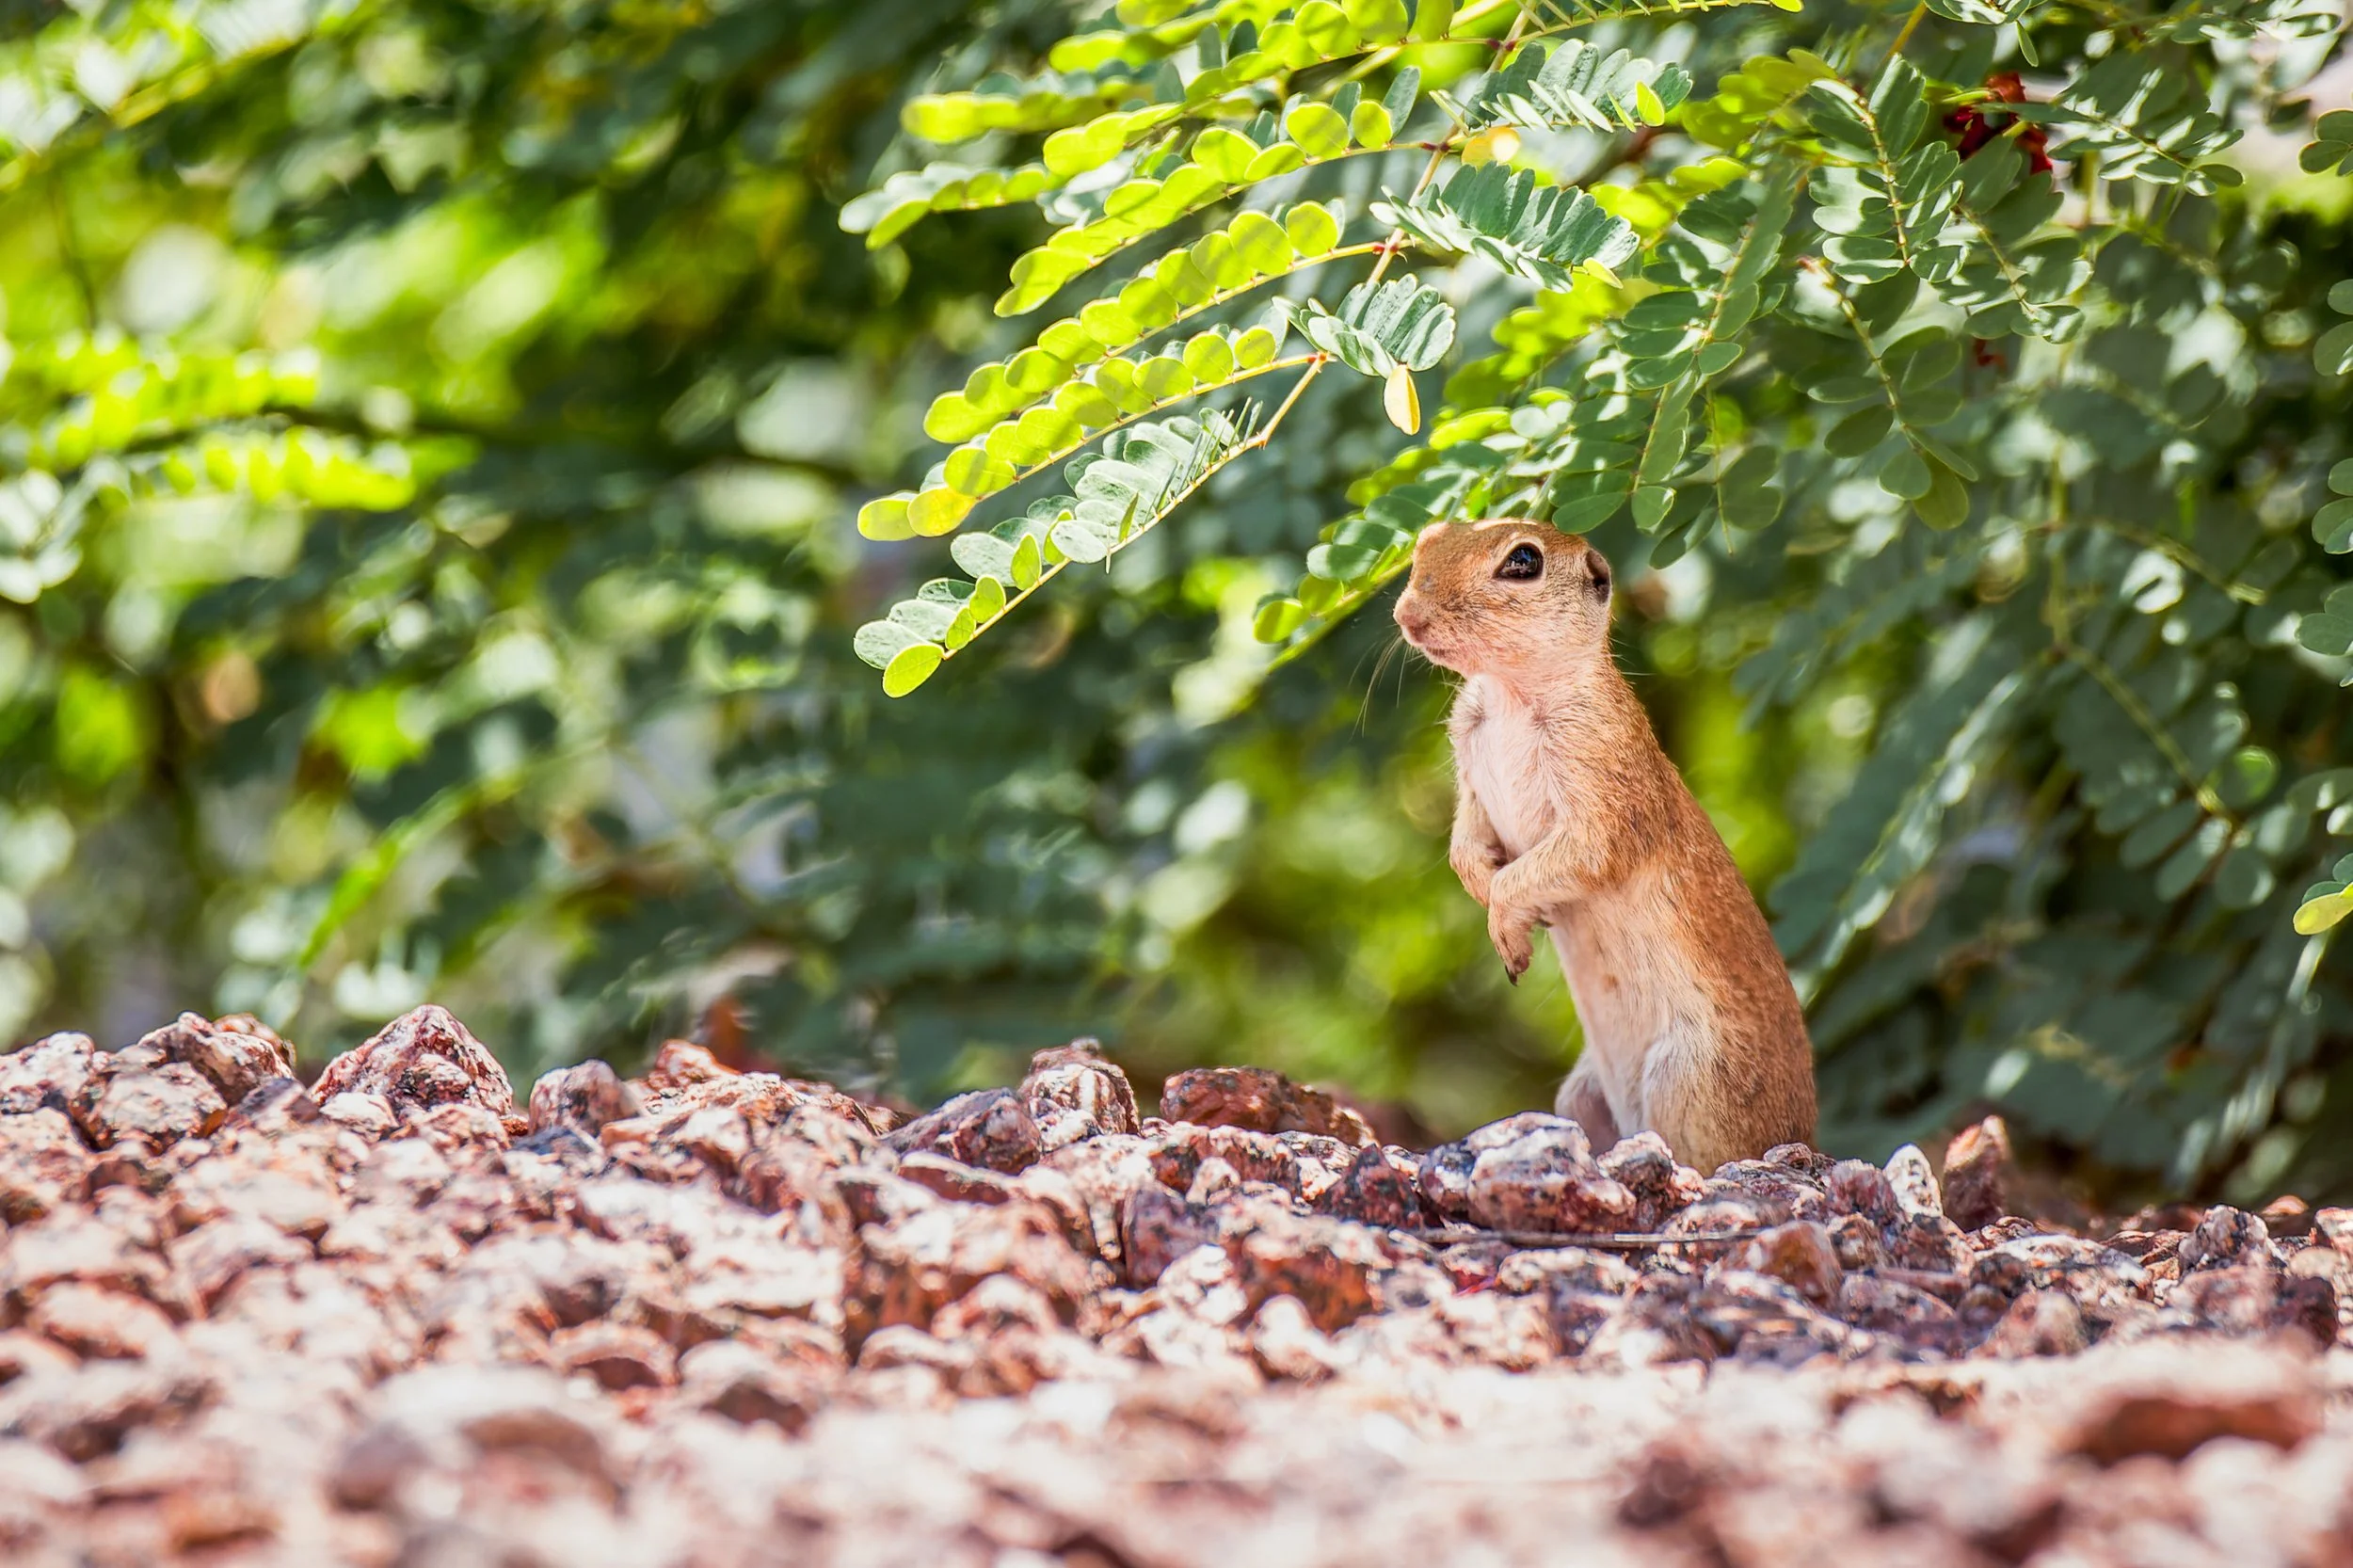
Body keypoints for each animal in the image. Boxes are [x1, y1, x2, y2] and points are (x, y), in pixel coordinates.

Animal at [1393, 519, 1816, 1173]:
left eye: (1523, 561)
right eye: (1430, 536)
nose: (1407, 614)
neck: (1509, 696)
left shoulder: (1603, 787)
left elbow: (1575, 855)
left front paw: (1509, 926)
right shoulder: (1469, 771)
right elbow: (1465, 845)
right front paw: (1493, 898)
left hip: (1684, 1077)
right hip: (1581, 1092)